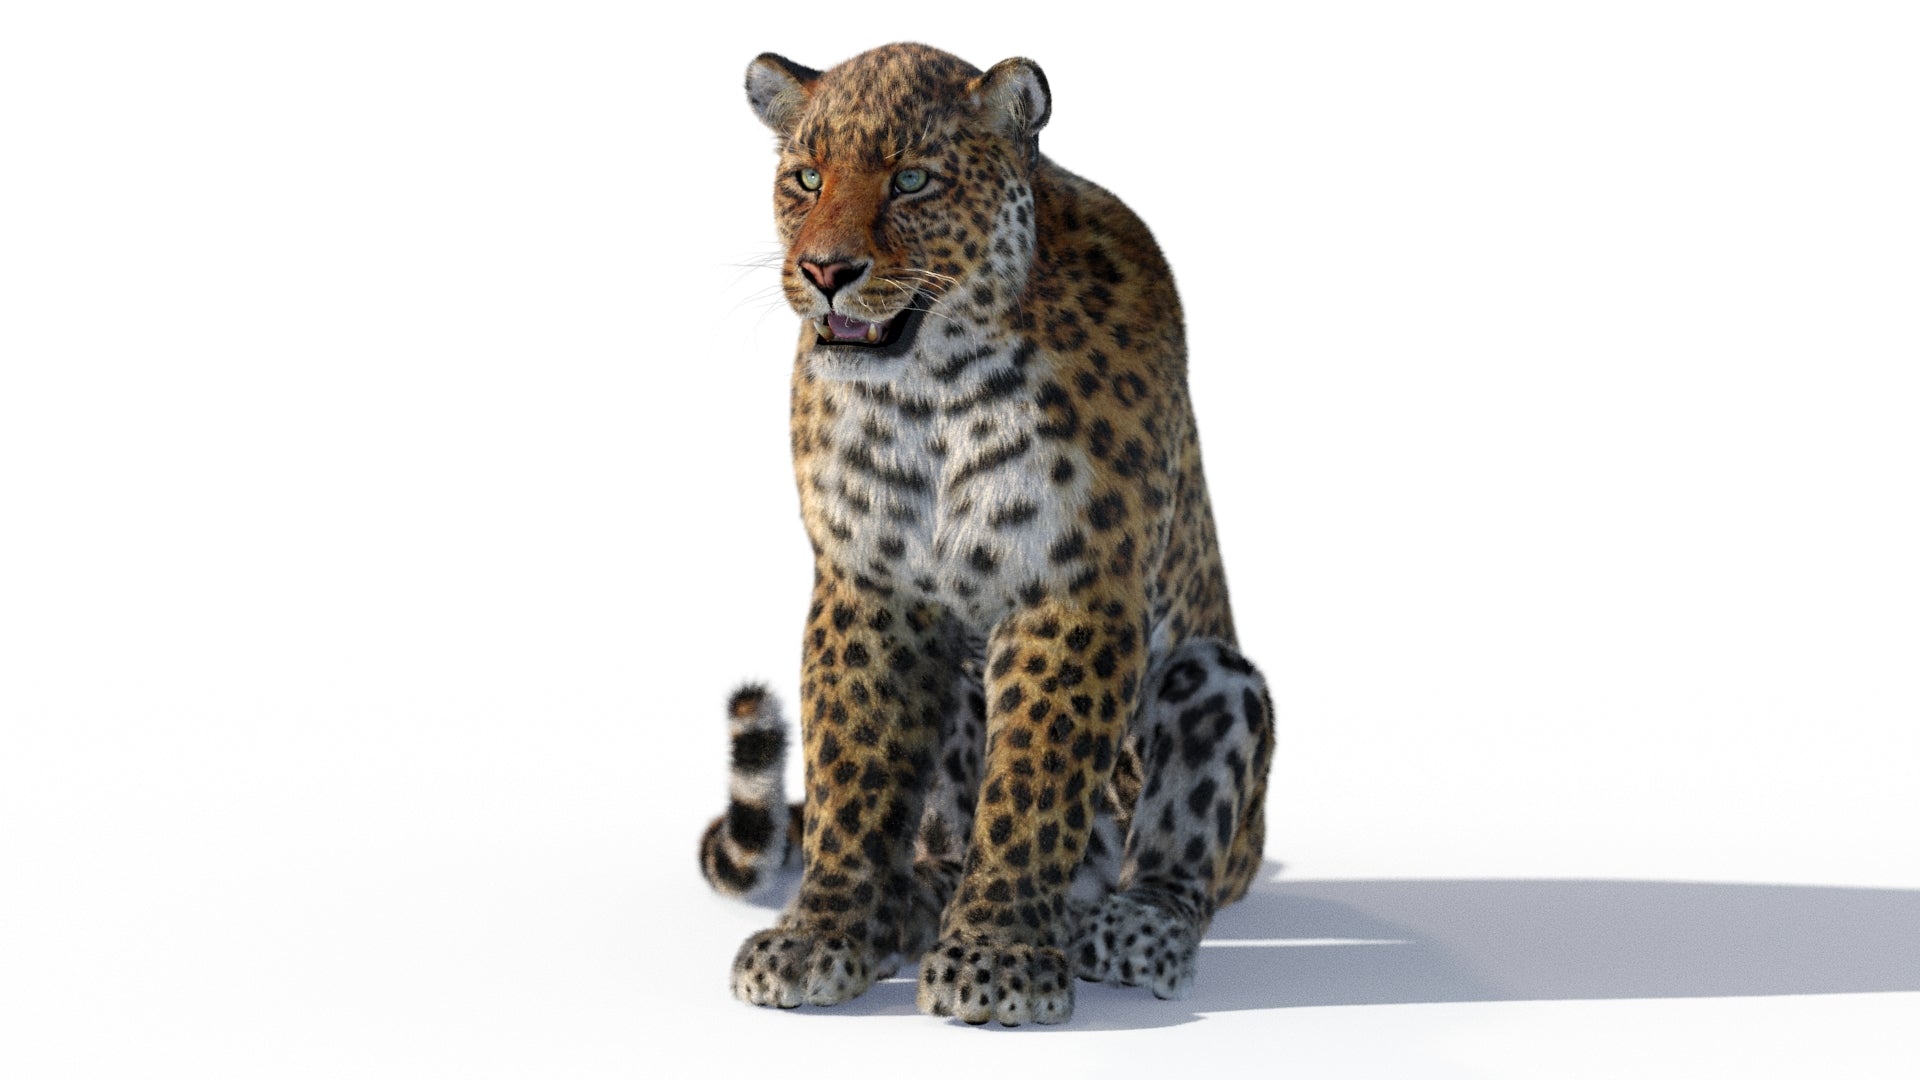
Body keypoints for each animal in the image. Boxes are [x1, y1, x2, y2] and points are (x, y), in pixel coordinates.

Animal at [697, 42, 1275, 1026]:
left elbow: (1035, 781)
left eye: (913, 180)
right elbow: (853, 769)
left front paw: (997, 958)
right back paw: (914, 899)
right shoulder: (868, 586)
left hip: (1215, 681)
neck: (930, 384)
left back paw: (1132, 928)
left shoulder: (1072, 590)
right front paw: (822, 936)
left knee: (1175, 853)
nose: (825, 271)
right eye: (807, 177)